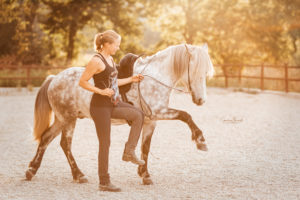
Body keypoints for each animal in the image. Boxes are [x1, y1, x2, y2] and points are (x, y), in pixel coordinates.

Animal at [25, 43, 213, 184]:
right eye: (196, 71)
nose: (201, 100)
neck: (153, 78)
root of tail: (54, 79)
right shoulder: (159, 112)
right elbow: (185, 115)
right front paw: (200, 140)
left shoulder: (150, 121)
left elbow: (145, 147)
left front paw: (144, 173)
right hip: (68, 119)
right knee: (65, 144)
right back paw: (78, 174)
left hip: (62, 119)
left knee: (46, 138)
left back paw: (32, 169)